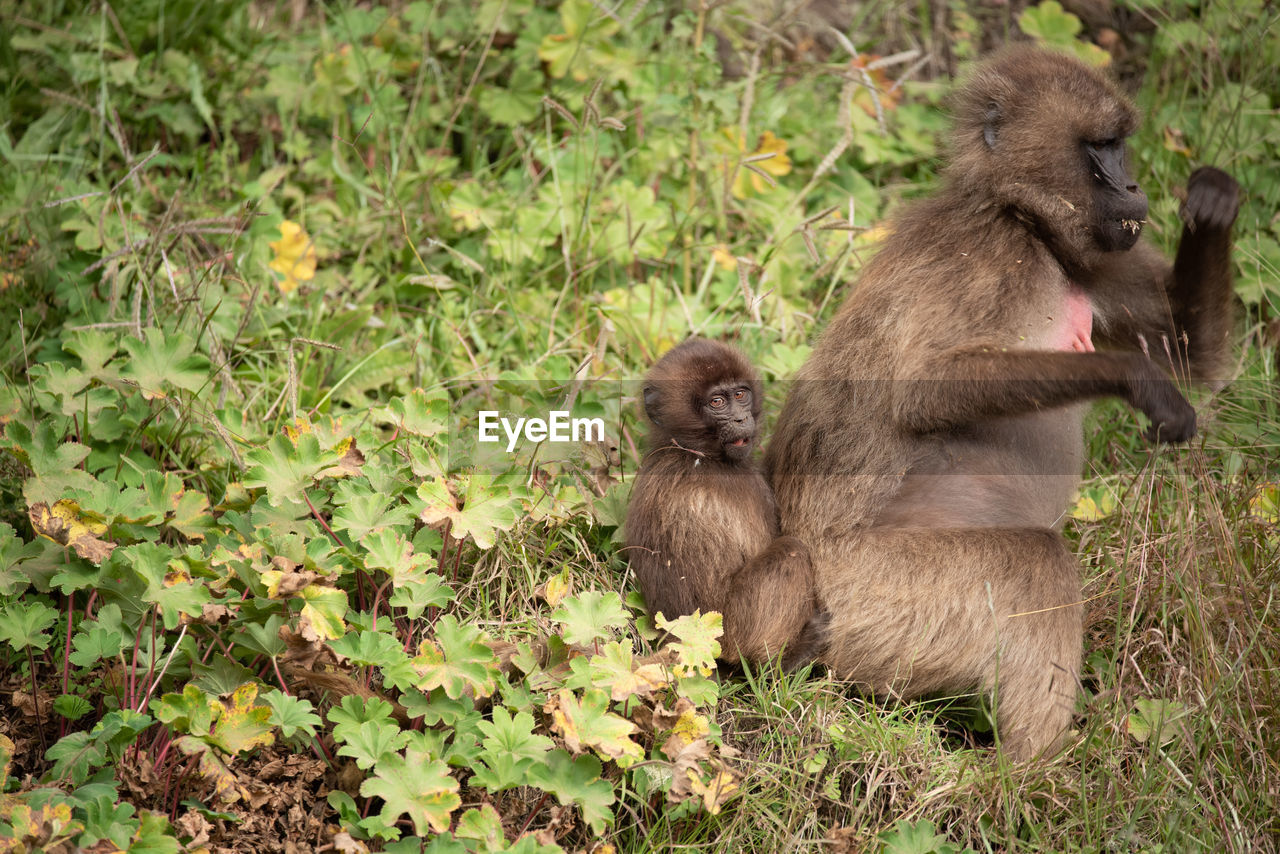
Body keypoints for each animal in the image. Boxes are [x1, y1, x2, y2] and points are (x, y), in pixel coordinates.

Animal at [624, 338, 824, 665]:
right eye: (716, 402)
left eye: (740, 395)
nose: (742, 419)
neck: (690, 451)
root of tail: (685, 640)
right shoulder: (748, 485)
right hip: (732, 629)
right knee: (790, 551)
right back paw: (780, 662)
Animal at [762, 45, 1233, 763]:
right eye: (1102, 147)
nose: (1133, 189)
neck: (1021, 220)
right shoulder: (984, 259)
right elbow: (922, 387)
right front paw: (1138, 379)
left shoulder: (1096, 261)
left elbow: (1187, 347)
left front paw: (1212, 203)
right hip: (873, 600)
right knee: (1034, 565)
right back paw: (1027, 771)